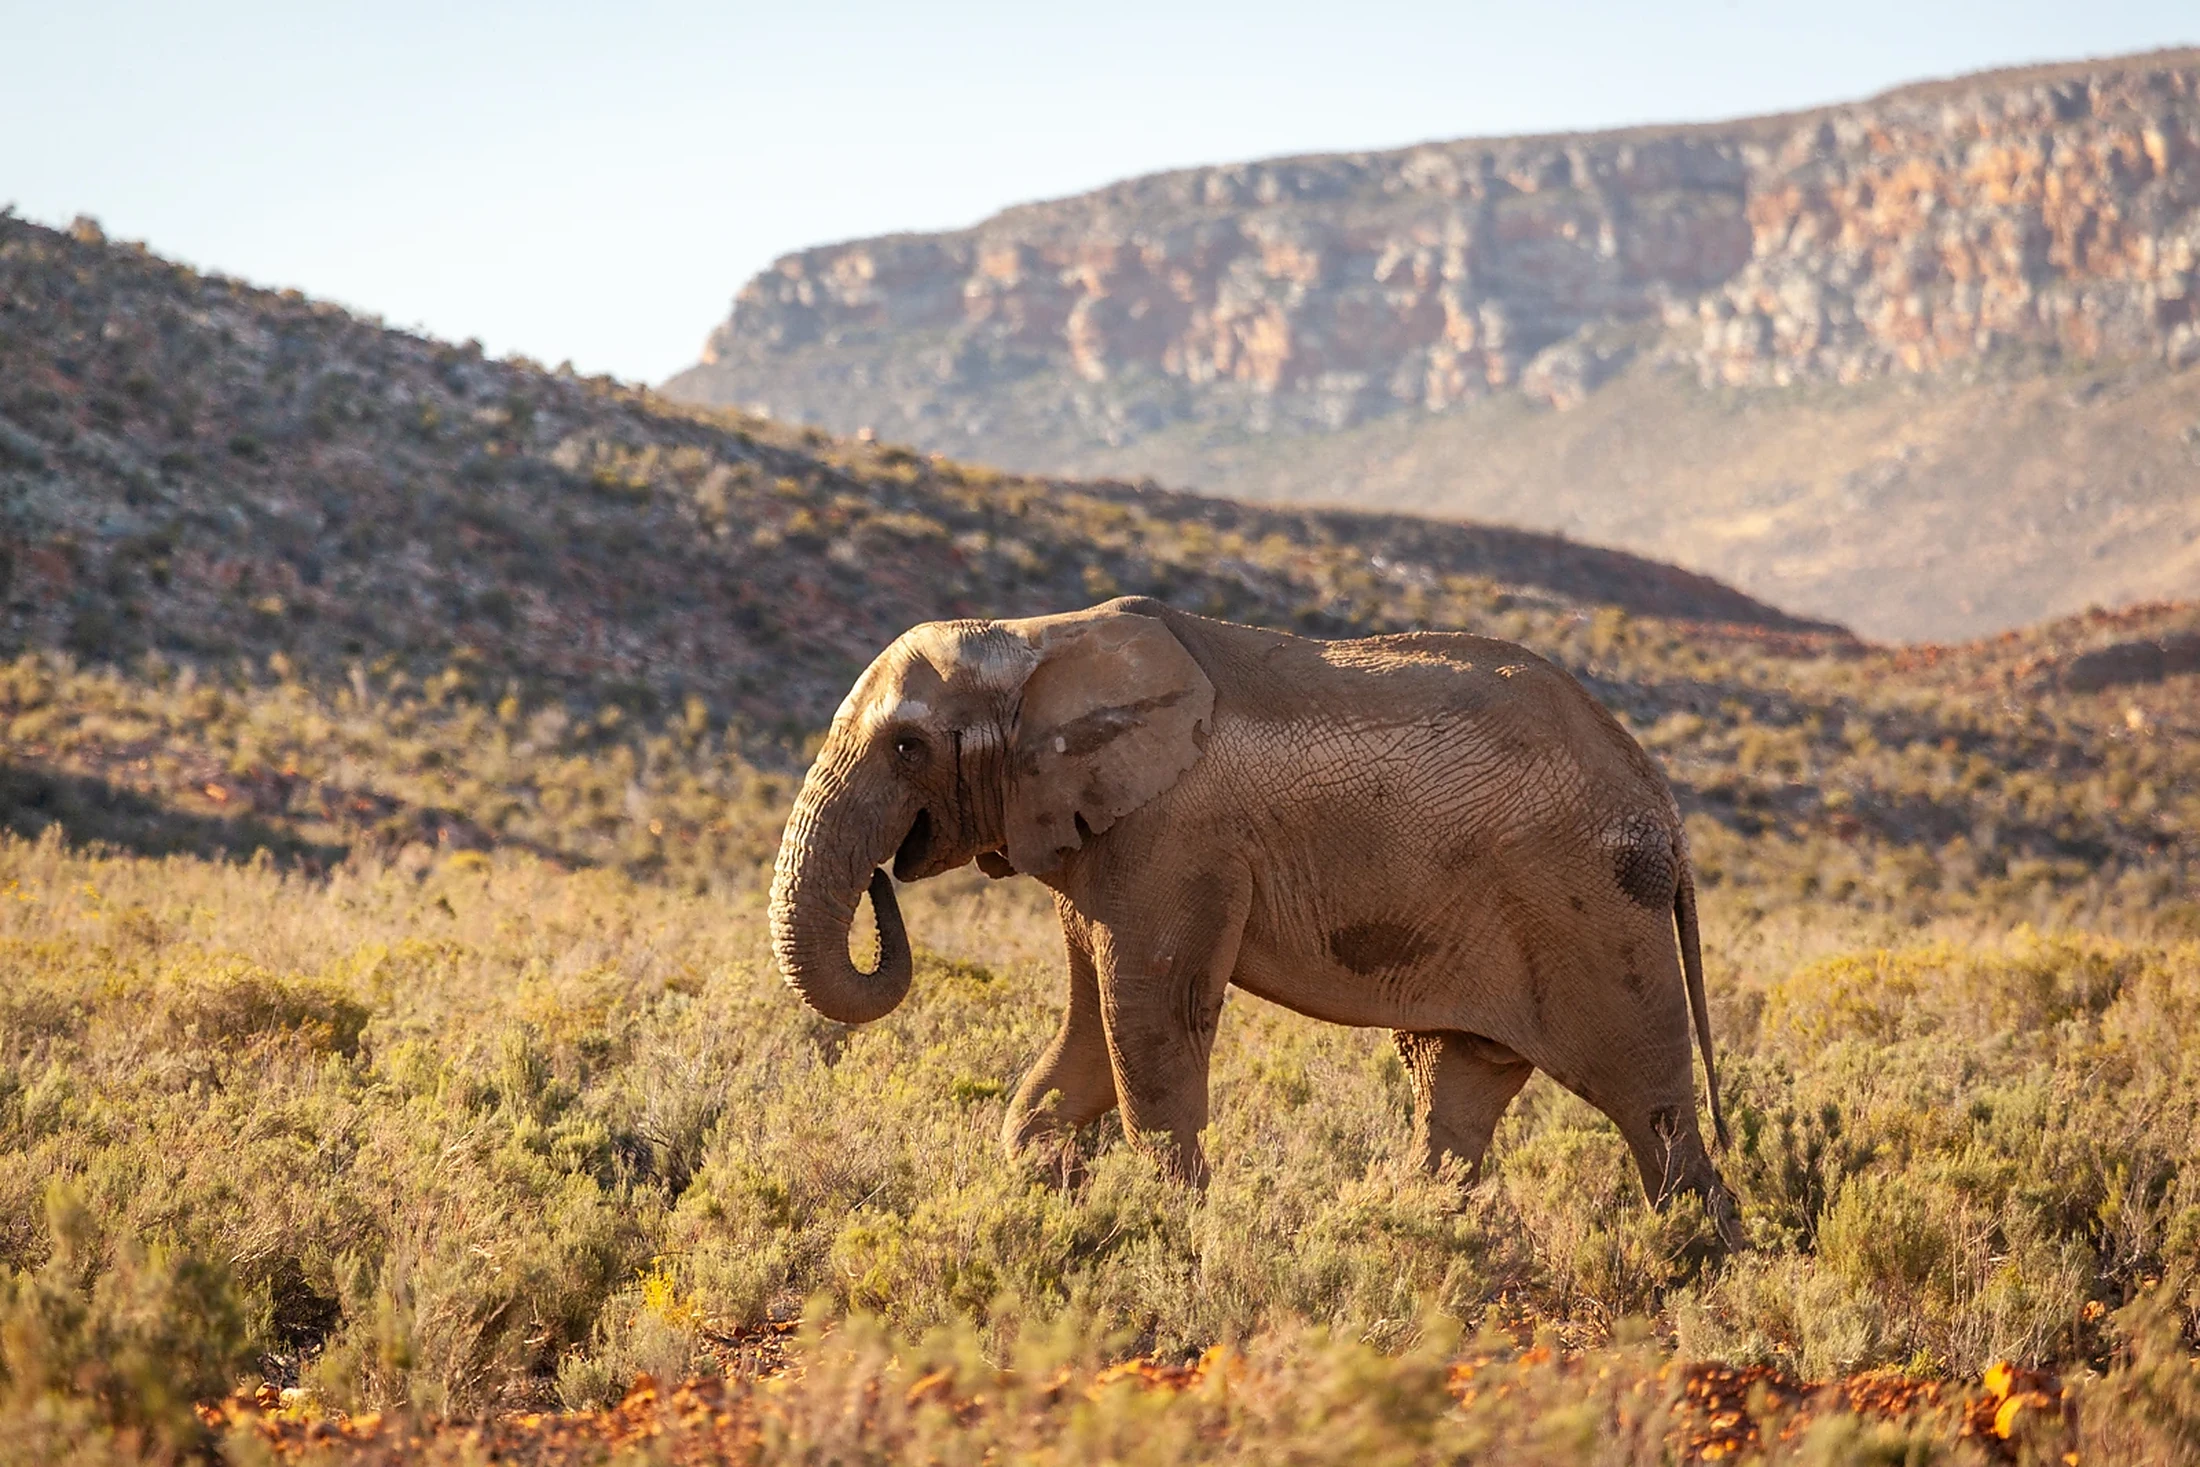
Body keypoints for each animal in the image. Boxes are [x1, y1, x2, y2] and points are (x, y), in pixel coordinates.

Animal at [769, 596, 1740, 1247]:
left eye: (907, 748)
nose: (884, 876)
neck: (1036, 641)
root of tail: (1663, 805)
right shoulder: (1100, 836)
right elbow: (1091, 1024)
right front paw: (1053, 1178)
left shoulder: (1172, 836)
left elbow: (1145, 1018)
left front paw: (1176, 1223)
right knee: (1459, 1078)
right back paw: (1411, 1229)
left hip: (1595, 908)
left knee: (1645, 1095)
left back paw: (1695, 1257)